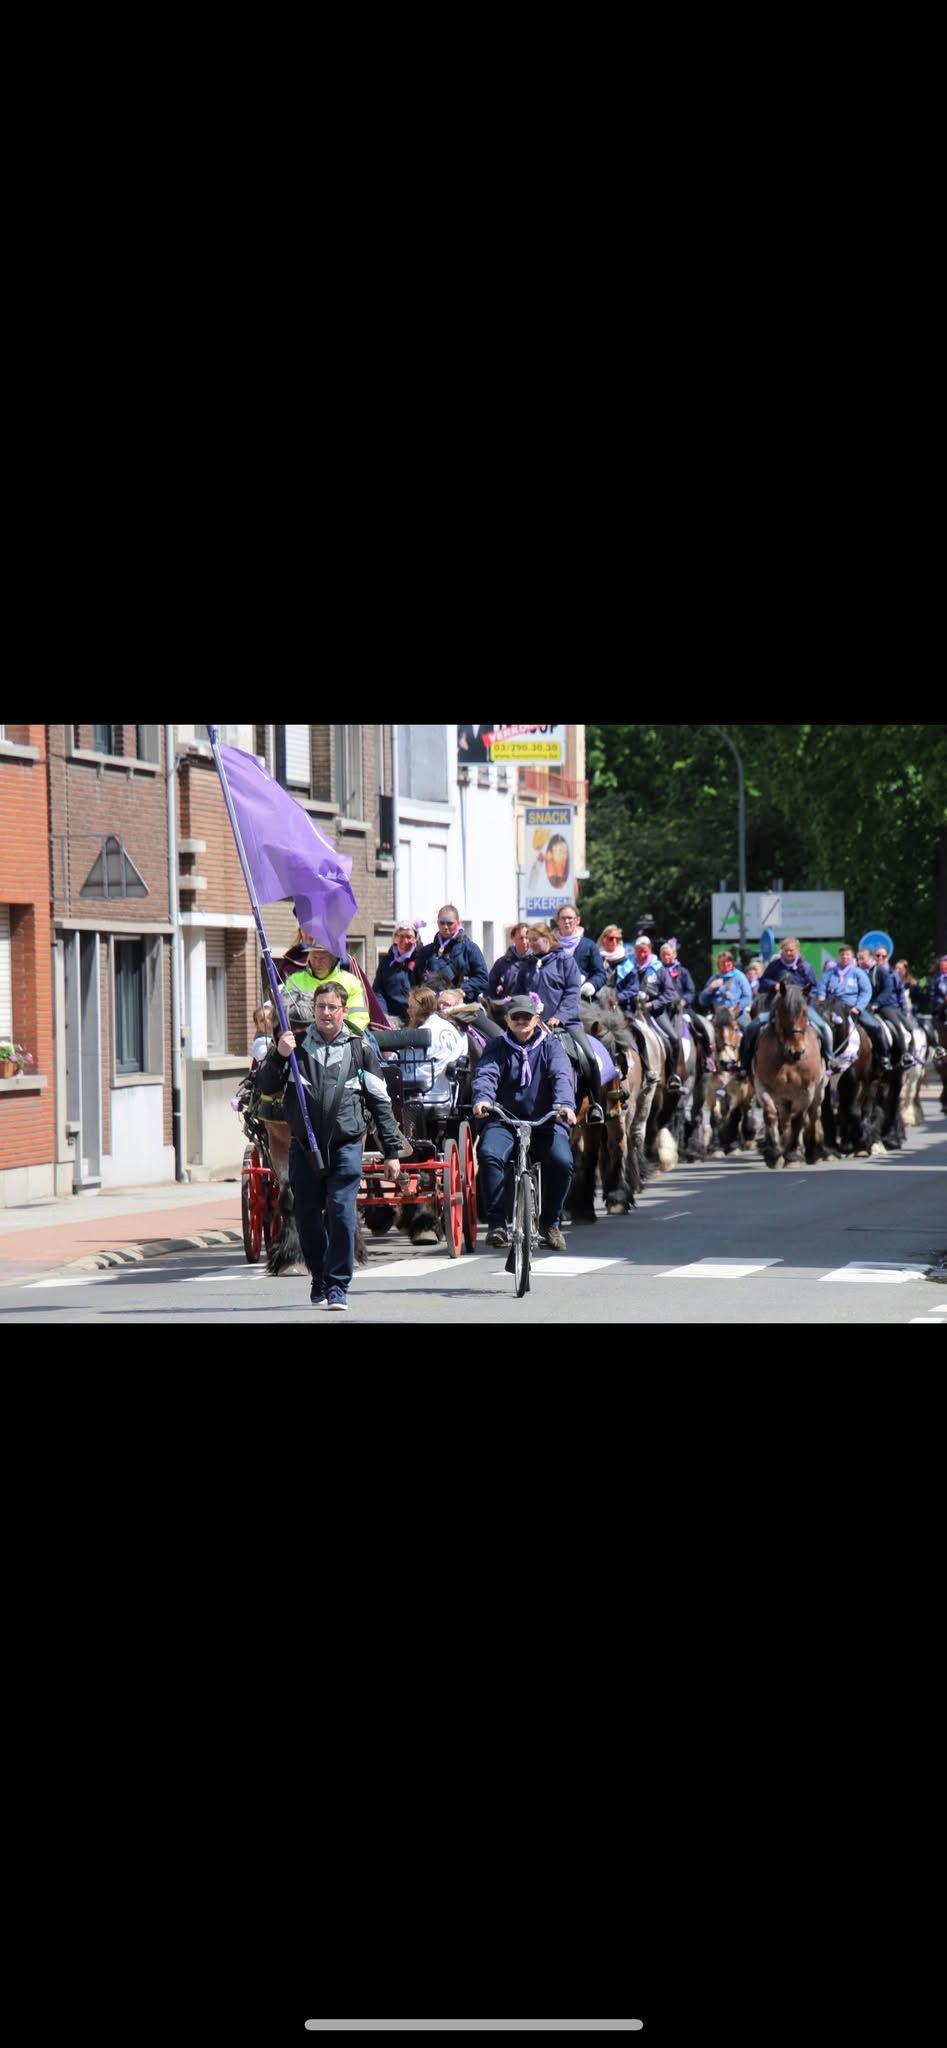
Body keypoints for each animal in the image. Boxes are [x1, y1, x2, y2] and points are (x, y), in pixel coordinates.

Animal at [750, 978, 824, 1171]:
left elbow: (799, 1119)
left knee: (813, 1114)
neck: (786, 1057)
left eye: (804, 1012)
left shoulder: (806, 1089)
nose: (797, 1051)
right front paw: (775, 1155)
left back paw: (813, 1152)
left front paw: (793, 1156)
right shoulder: (762, 1086)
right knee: (785, 1118)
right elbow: (770, 1115)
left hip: (818, 1091)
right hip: (784, 1097)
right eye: (783, 1011)